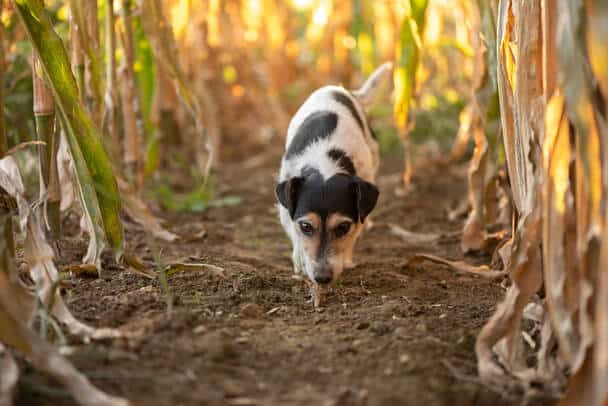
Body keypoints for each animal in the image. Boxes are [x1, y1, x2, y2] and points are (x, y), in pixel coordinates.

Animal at [276, 62, 392, 292]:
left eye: (342, 227)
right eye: (306, 226)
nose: (322, 278)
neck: (324, 161)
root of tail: (343, 90)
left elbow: (356, 231)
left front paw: (346, 260)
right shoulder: (285, 208)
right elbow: (293, 233)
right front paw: (300, 259)